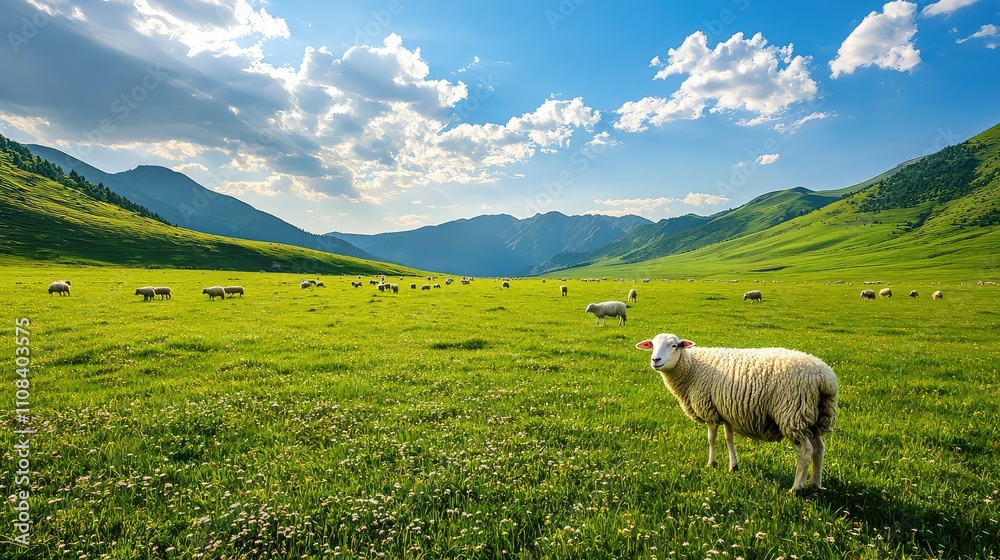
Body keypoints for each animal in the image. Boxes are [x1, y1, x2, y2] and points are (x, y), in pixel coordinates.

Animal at [635, 333, 839, 493]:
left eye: (674, 345)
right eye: (652, 344)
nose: (655, 360)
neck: (692, 367)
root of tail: (825, 379)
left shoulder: (709, 409)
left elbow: (711, 438)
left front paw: (711, 463)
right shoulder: (725, 410)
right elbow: (729, 438)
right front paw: (733, 466)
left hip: (792, 413)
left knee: (805, 452)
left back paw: (796, 488)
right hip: (815, 416)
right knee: (819, 449)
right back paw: (815, 484)